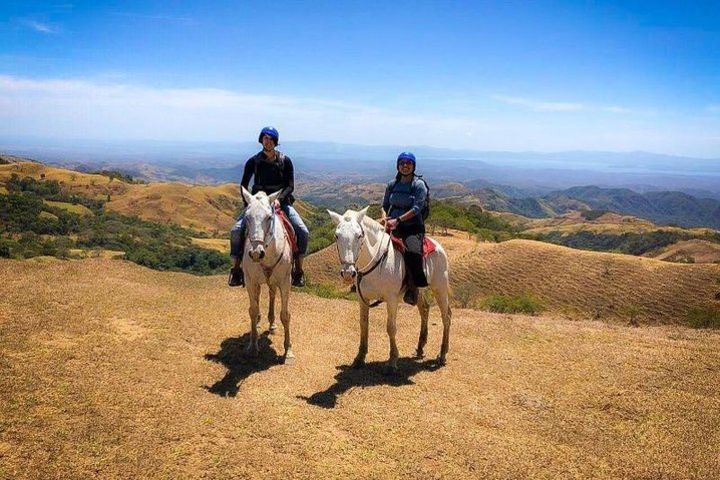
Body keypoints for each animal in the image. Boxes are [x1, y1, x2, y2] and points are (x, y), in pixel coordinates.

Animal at [242, 187, 296, 364]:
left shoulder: (285, 282)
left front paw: (288, 351)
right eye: (247, 217)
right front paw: (253, 346)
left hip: (273, 281)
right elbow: (252, 310)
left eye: (269, 217)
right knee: (259, 299)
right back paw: (259, 323)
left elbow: (285, 315)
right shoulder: (250, 281)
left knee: (272, 294)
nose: (256, 253)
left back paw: (271, 324)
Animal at [330, 206, 452, 372]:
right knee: (425, 309)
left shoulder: (392, 299)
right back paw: (420, 347)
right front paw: (359, 358)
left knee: (446, 317)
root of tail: (438, 246)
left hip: (440, 288)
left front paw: (393, 361)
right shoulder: (363, 299)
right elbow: (363, 324)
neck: (375, 260)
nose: (348, 273)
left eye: (359, 235)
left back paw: (442, 354)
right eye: (337, 236)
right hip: (419, 290)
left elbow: (391, 327)